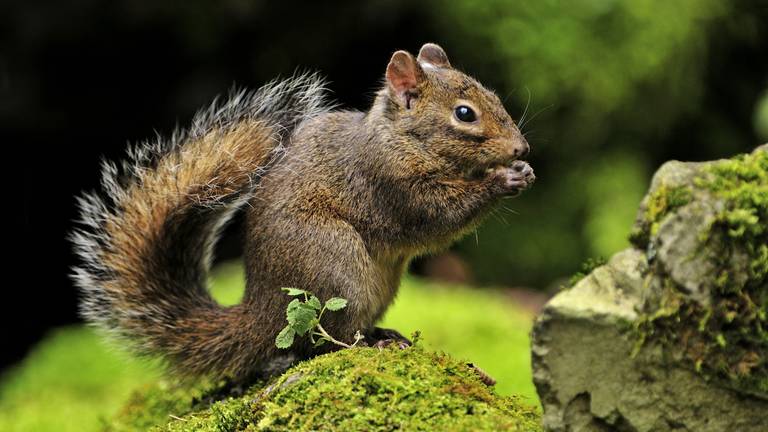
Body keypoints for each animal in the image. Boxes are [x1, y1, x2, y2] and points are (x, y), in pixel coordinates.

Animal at [72, 43, 536, 382]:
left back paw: (384, 333)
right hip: (333, 264)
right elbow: (439, 217)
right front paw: (503, 179)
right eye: (464, 113)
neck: (400, 138)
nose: (522, 148)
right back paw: (374, 345)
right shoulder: (391, 184)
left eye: (493, 96)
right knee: (327, 341)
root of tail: (260, 312)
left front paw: (522, 171)